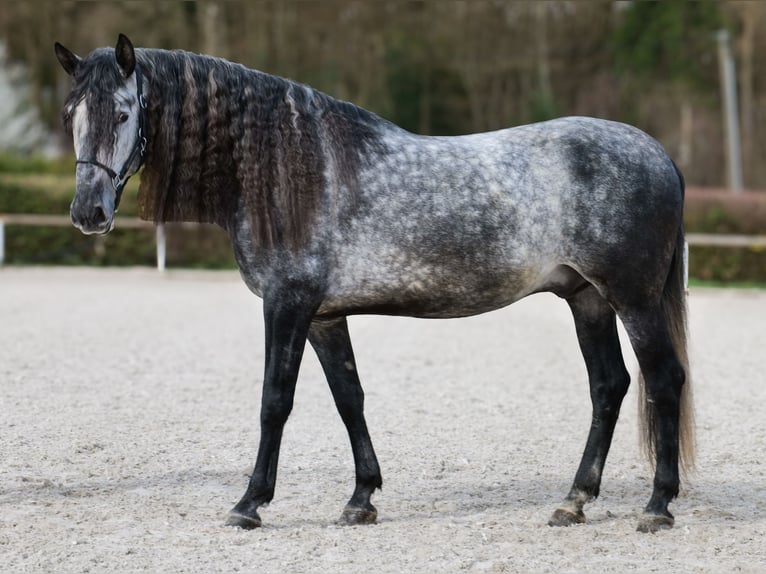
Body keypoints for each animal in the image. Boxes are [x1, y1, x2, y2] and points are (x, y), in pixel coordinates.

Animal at [54, 34, 694, 533]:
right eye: (70, 116)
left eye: (122, 113)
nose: (88, 213)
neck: (285, 171)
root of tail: (660, 154)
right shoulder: (323, 316)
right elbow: (349, 397)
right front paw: (361, 499)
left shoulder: (286, 305)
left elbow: (274, 401)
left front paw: (249, 504)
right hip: (587, 299)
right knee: (609, 386)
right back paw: (573, 502)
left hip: (633, 299)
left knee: (663, 380)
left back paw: (657, 506)